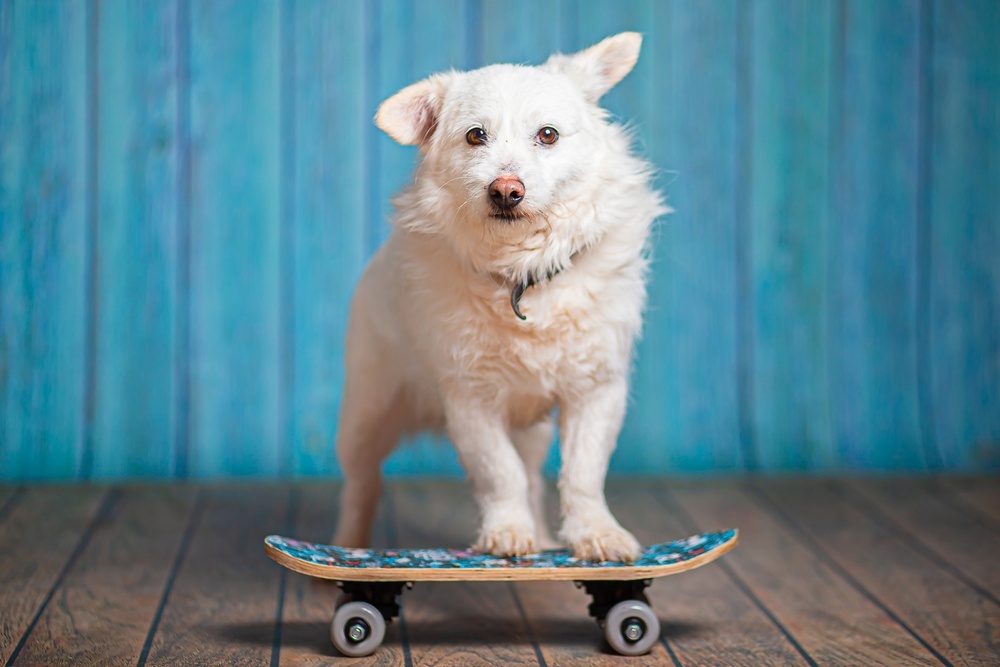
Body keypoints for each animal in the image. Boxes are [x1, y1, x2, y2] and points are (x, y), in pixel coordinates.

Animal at [332, 32, 668, 564]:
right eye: (475, 136)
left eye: (548, 135)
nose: (506, 190)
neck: (522, 275)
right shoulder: (470, 401)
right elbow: (498, 472)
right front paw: (507, 530)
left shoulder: (597, 391)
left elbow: (582, 473)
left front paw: (594, 532)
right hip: (366, 416)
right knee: (361, 486)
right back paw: (347, 545)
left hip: (531, 429)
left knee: (531, 476)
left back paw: (545, 537)